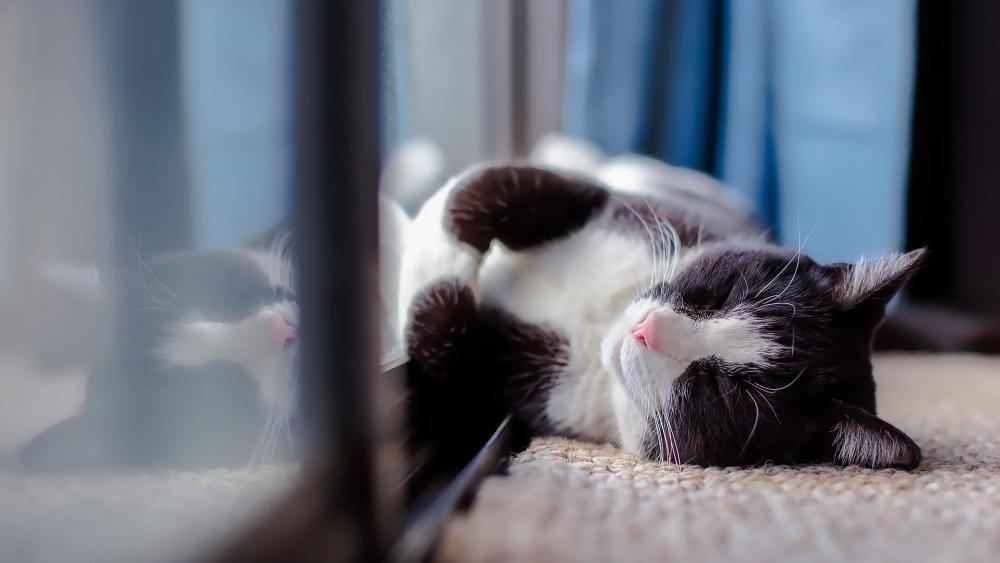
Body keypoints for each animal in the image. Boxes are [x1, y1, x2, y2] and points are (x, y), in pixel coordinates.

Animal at [396, 164, 920, 472]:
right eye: (724, 296)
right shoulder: (627, 208)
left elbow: (441, 339)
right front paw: (434, 218)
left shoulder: (522, 392)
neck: (602, 319)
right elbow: (492, 185)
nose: (645, 330)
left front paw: (426, 250)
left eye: (722, 389)